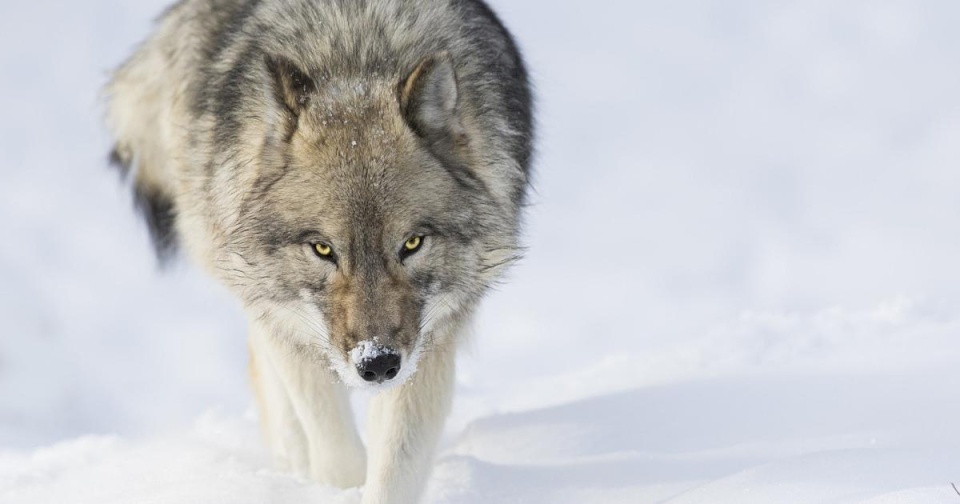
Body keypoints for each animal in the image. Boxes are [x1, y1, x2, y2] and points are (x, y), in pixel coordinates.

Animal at [105, 0, 532, 504]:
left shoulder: (433, 340)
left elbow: (394, 466)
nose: (377, 363)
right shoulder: (288, 322)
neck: (355, 59)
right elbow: (336, 453)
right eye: (323, 249)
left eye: (411, 244)